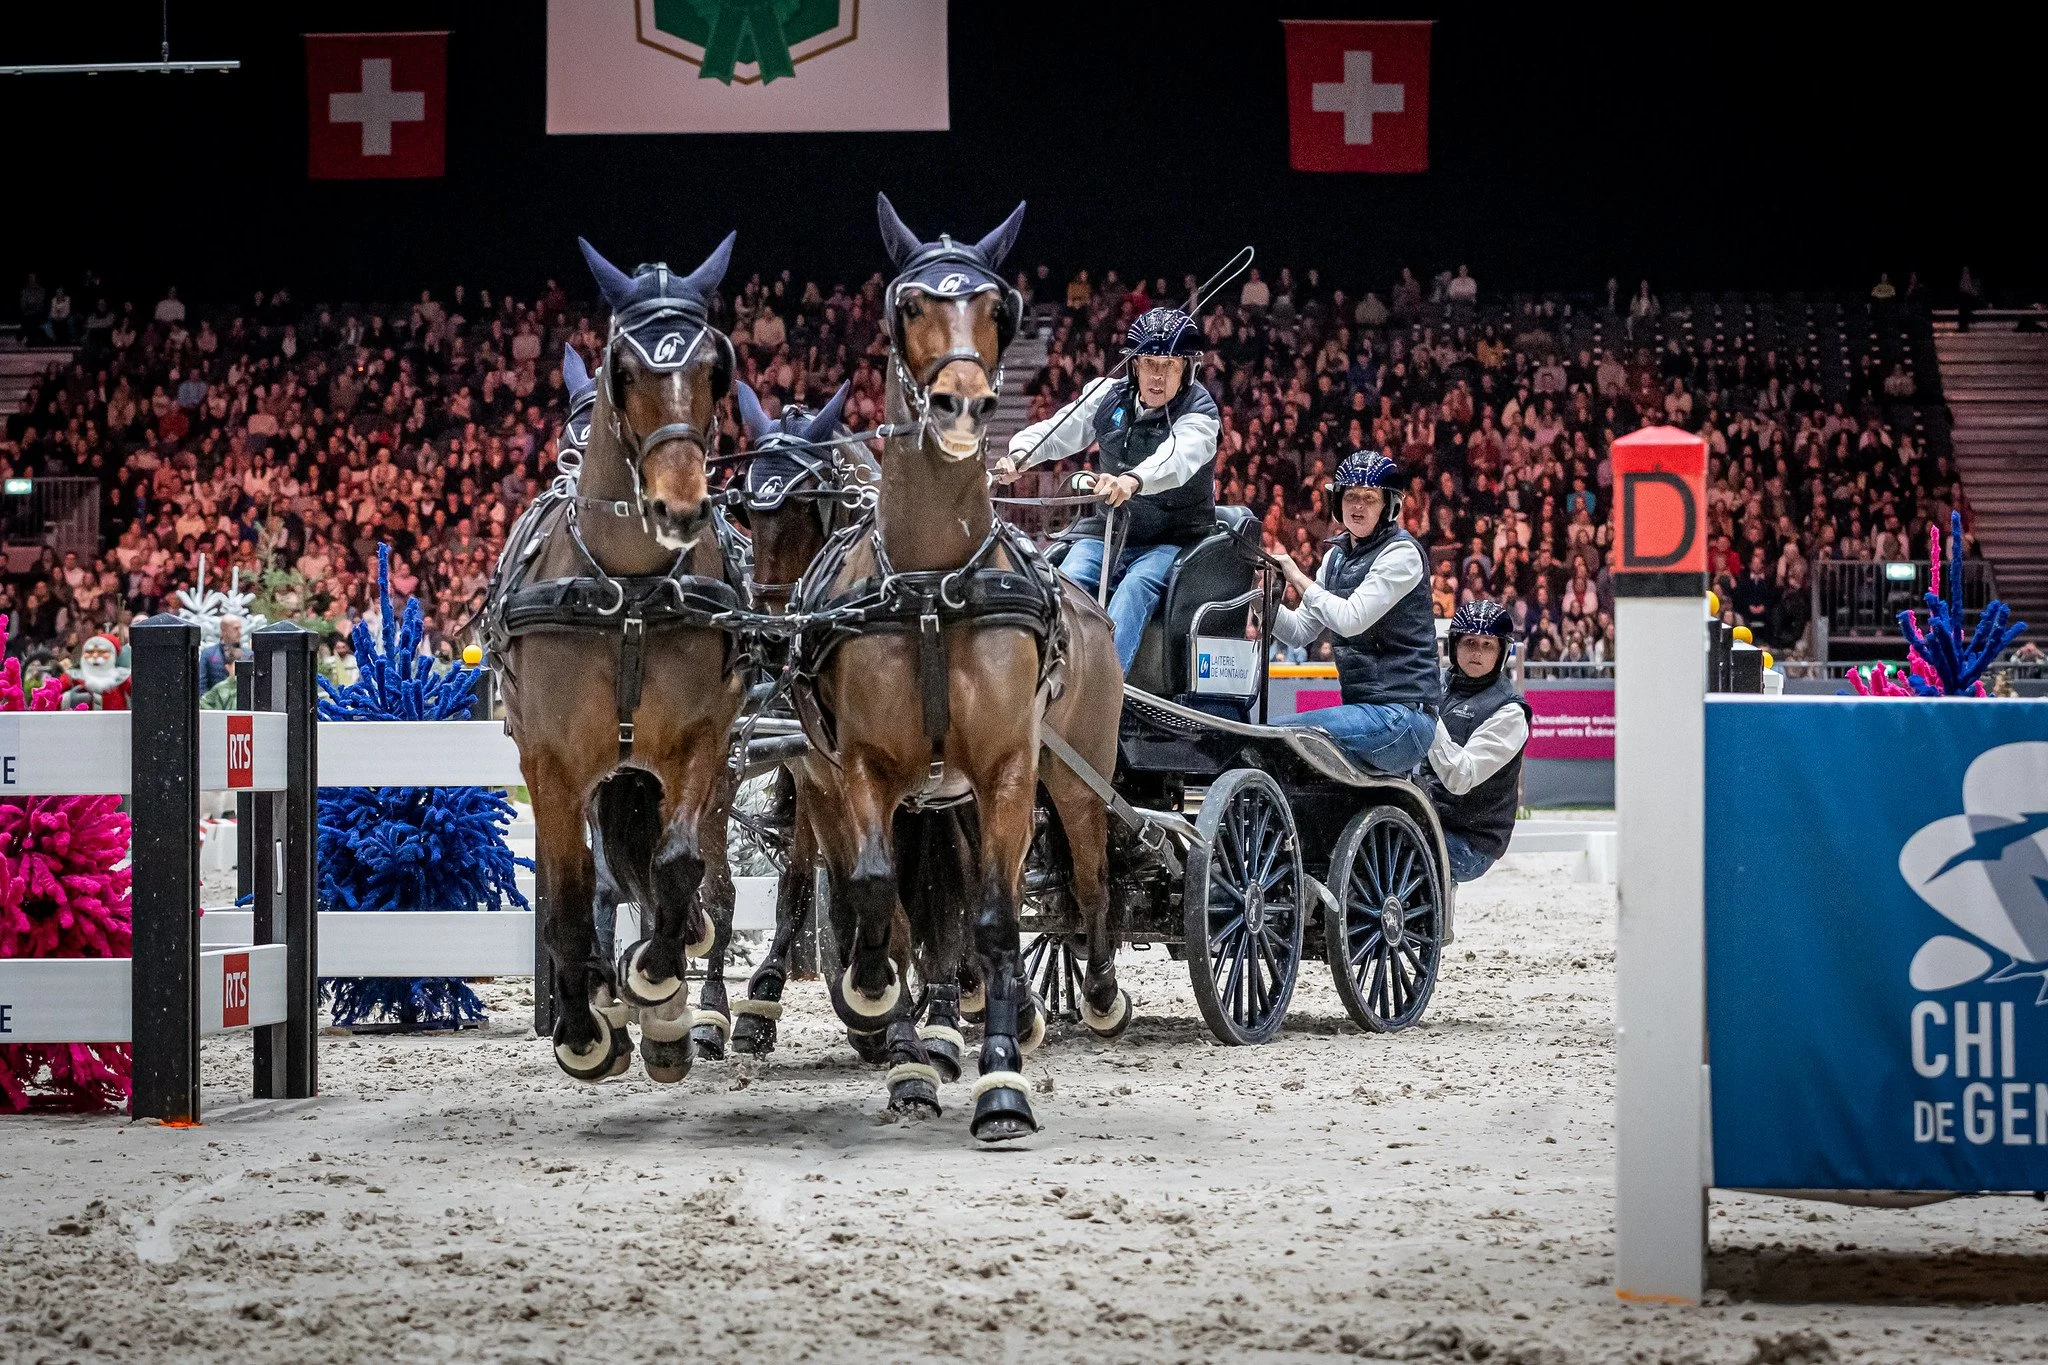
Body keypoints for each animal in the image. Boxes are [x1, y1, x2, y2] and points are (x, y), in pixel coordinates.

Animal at [485, 232, 747, 1083]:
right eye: (622, 369)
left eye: (715, 367)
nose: (679, 506)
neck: (630, 590)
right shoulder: (551, 762)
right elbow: (571, 899)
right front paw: (582, 1027)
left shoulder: (704, 741)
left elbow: (676, 867)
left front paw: (658, 983)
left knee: (691, 877)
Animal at [788, 195, 1127, 1142]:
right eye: (909, 304)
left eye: (999, 306)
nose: (963, 404)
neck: (932, 583)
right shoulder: (863, 771)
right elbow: (885, 901)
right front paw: (890, 1022)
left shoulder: (1008, 767)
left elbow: (997, 916)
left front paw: (1002, 1081)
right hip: (900, 795)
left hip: (1075, 778)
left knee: (1090, 883)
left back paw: (1092, 993)